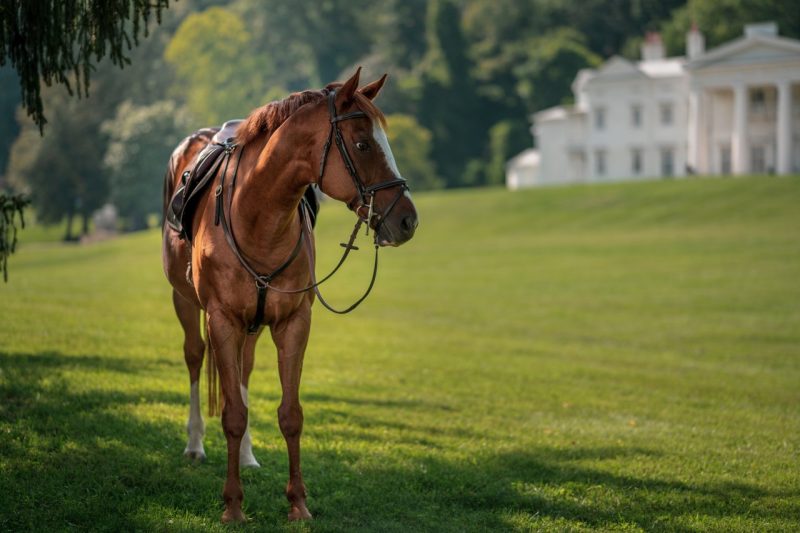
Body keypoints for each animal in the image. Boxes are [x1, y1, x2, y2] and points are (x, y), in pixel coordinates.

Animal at [161, 68, 418, 520]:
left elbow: (289, 414)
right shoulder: (222, 320)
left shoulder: (293, 323)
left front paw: (298, 502)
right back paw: (194, 444)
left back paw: (247, 456)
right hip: (187, 304)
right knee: (194, 359)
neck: (257, 213)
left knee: (242, 374)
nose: (408, 220)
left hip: (251, 327)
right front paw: (233, 507)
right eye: (362, 144)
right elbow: (232, 414)